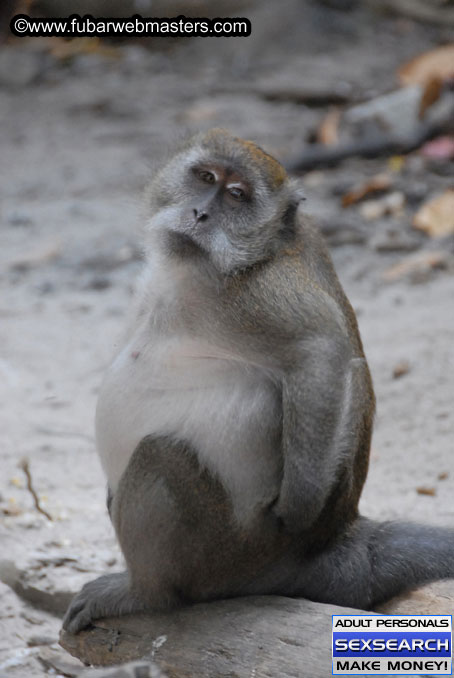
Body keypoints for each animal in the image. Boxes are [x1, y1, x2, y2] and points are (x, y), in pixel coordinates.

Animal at [63, 130, 454, 636]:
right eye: (205, 177)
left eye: (236, 195)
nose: (200, 213)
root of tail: (326, 546)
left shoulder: (255, 294)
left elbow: (322, 350)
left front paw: (296, 510)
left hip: (226, 556)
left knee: (158, 457)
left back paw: (145, 593)